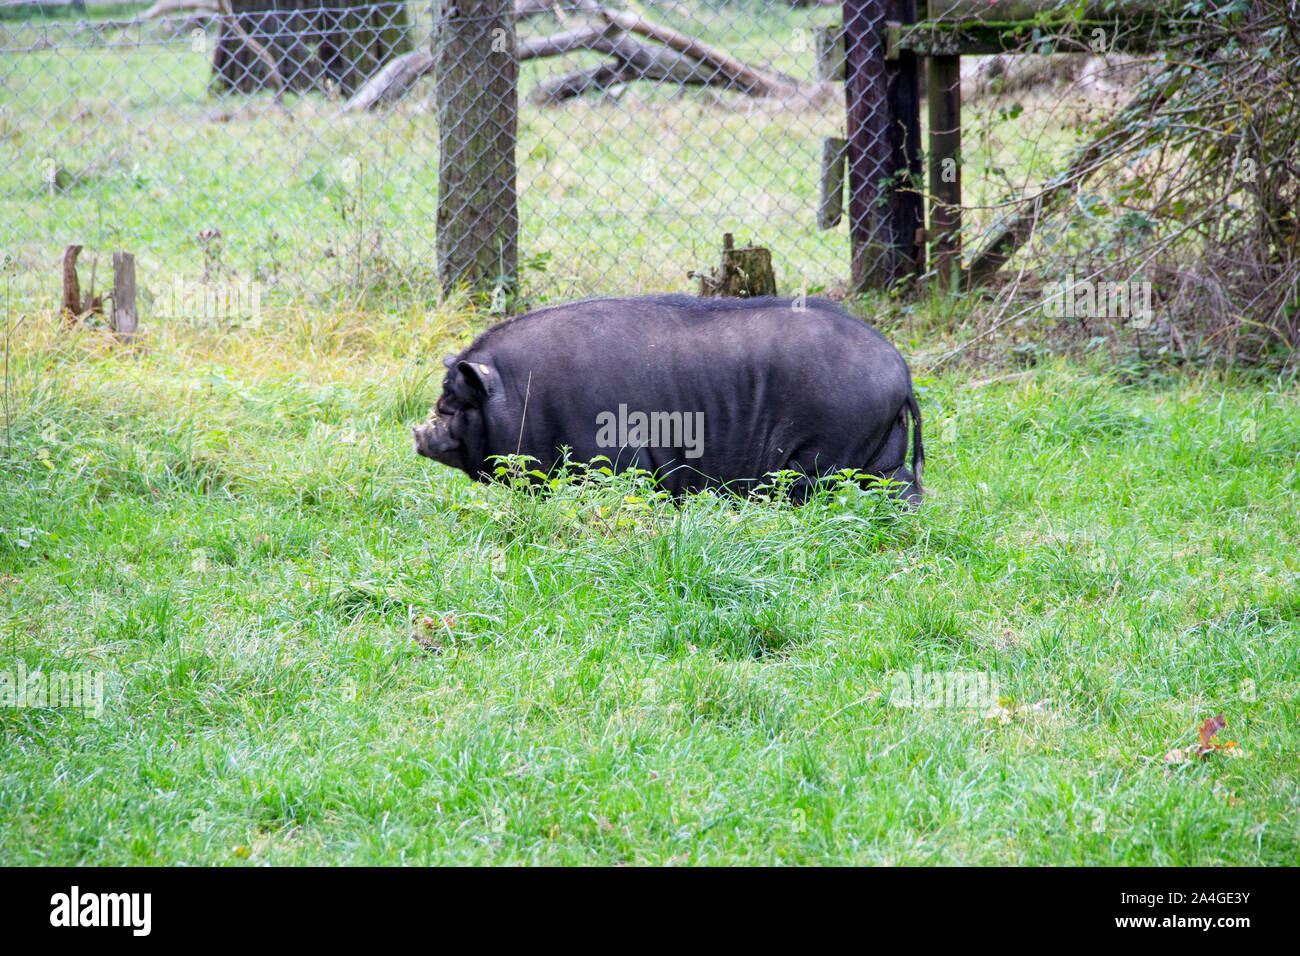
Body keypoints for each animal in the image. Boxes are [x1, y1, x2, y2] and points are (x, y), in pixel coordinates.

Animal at [413, 294, 924, 504]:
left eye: (455, 403)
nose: (419, 430)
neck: (521, 393)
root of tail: (902, 371)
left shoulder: (612, 458)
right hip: (882, 455)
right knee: (902, 489)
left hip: (824, 452)